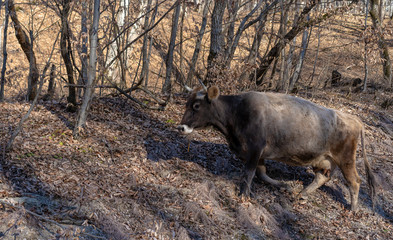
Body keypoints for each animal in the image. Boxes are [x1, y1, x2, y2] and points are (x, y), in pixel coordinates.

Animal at [178, 85, 376, 211]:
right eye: (186, 104)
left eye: (196, 106)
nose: (181, 127)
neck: (236, 114)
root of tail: (353, 118)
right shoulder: (256, 153)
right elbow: (262, 173)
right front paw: (284, 185)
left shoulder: (255, 149)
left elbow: (249, 173)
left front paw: (243, 195)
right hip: (324, 159)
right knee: (322, 177)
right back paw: (302, 193)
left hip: (346, 159)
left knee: (354, 182)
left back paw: (352, 209)